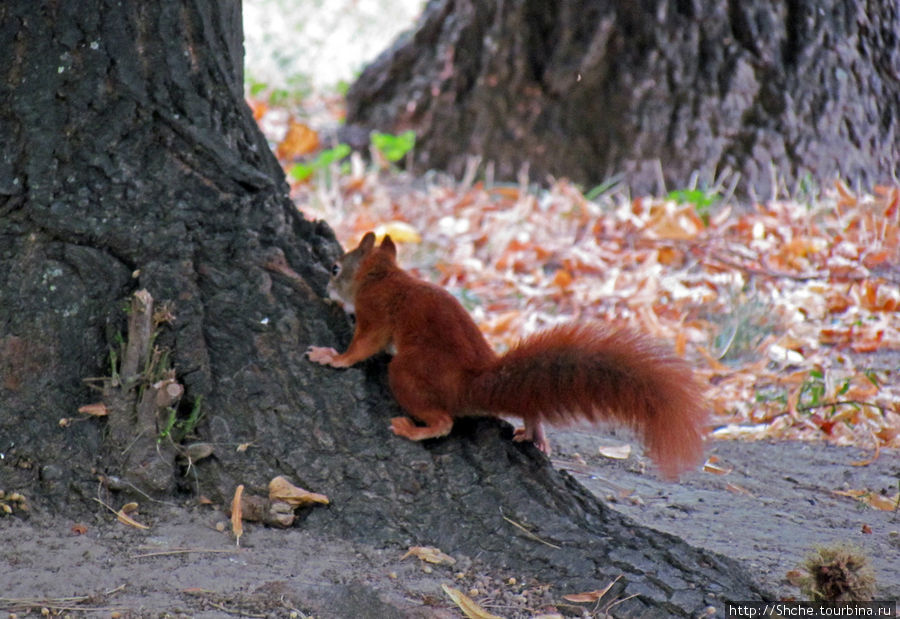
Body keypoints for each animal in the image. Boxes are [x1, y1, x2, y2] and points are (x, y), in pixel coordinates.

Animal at [310, 232, 712, 480]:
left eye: (335, 268)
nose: (327, 287)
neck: (384, 276)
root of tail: (472, 384)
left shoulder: (374, 314)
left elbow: (363, 346)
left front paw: (333, 357)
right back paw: (535, 432)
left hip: (406, 373)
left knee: (444, 422)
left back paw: (413, 429)